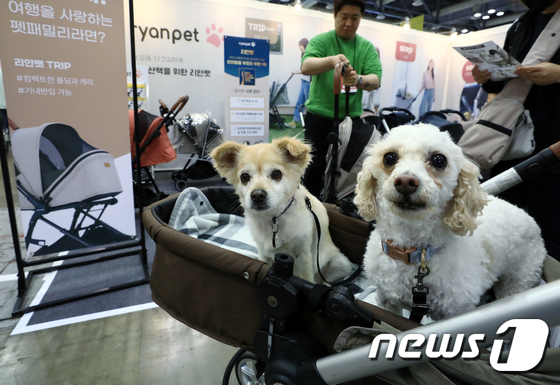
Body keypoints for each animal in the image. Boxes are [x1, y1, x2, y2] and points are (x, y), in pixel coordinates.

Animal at [210, 136, 354, 282]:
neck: (273, 218)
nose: (257, 195)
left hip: (343, 265)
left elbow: (306, 278)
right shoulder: (263, 253)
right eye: (244, 177)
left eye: (276, 174)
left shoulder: (303, 254)